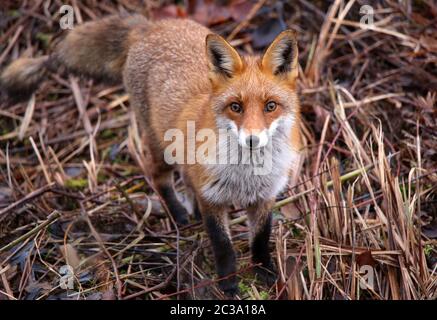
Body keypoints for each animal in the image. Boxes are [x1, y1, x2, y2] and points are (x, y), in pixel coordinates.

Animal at [0, 14, 302, 296]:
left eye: (271, 106)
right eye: (236, 107)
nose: (252, 140)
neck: (246, 176)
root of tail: (151, 25)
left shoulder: (265, 197)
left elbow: (260, 239)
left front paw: (265, 273)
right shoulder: (212, 199)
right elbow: (223, 246)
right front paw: (228, 284)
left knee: (183, 177)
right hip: (159, 146)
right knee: (158, 177)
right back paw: (179, 214)